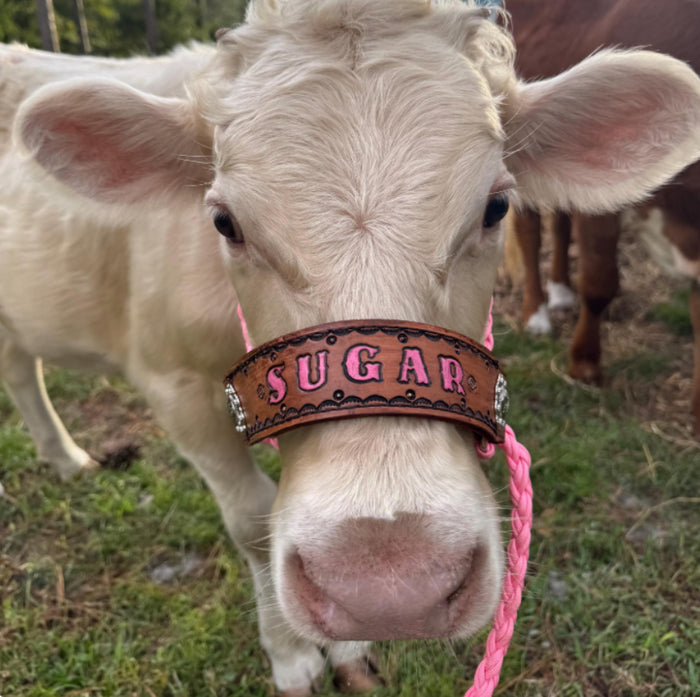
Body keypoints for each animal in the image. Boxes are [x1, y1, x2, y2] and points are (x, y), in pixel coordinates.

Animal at [506, 0, 700, 435]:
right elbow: (599, 283)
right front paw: (584, 365)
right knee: (530, 231)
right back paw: (537, 313)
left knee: (560, 221)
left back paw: (561, 291)